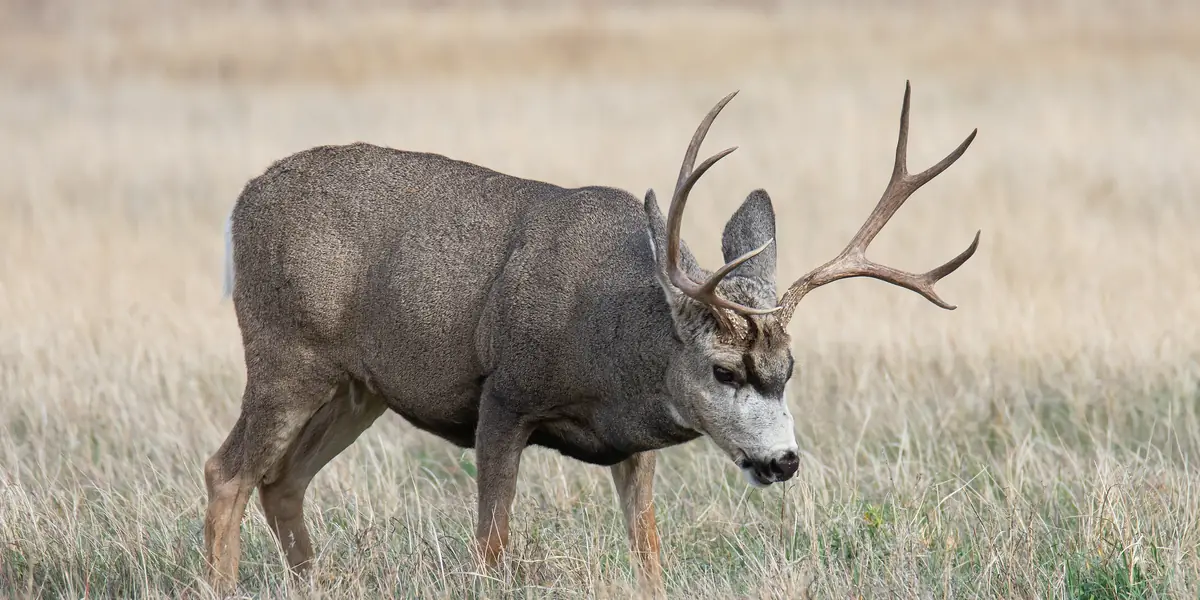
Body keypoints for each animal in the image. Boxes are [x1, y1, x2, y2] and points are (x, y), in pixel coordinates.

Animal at [205, 81, 979, 595]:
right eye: (724, 370)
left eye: (788, 370)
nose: (783, 461)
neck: (614, 348)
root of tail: (240, 204)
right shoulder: (504, 397)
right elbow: (491, 548)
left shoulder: (633, 446)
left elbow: (650, 553)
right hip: (285, 351)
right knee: (228, 472)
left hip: (356, 386)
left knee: (283, 480)